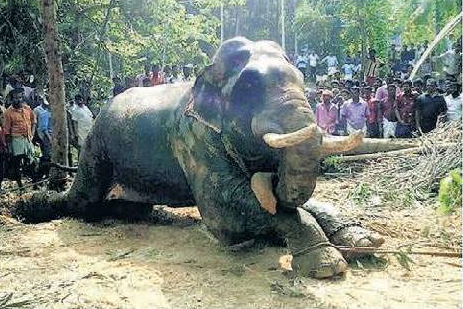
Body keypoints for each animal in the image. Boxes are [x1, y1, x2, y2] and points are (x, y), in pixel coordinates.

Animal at [15, 37, 392, 278]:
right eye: (249, 88)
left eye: (303, 79)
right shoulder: (190, 136)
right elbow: (223, 213)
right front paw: (327, 264)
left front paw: (366, 242)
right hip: (96, 146)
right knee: (82, 200)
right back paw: (27, 207)